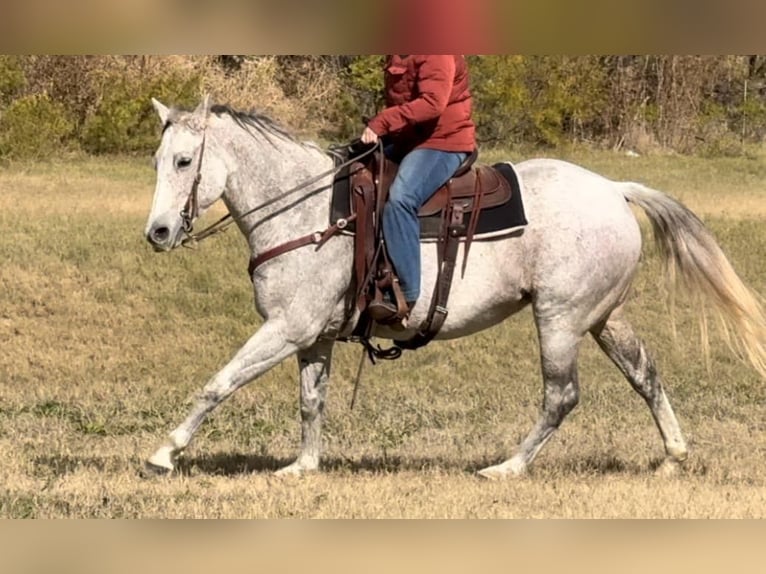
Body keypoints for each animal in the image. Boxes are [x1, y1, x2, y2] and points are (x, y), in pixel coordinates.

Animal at [142, 97, 766, 480]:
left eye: (184, 160)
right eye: (156, 161)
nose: (158, 233)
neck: (311, 211)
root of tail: (614, 188)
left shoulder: (285, 329)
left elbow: (218, 384)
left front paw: (164, 453)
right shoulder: (312, 336)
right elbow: (310, 401)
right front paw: (304, 466)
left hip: (560, 319)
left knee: (561, 395)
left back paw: (508, 468)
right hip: (602, 317)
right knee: (646, 374)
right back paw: (673, 456)